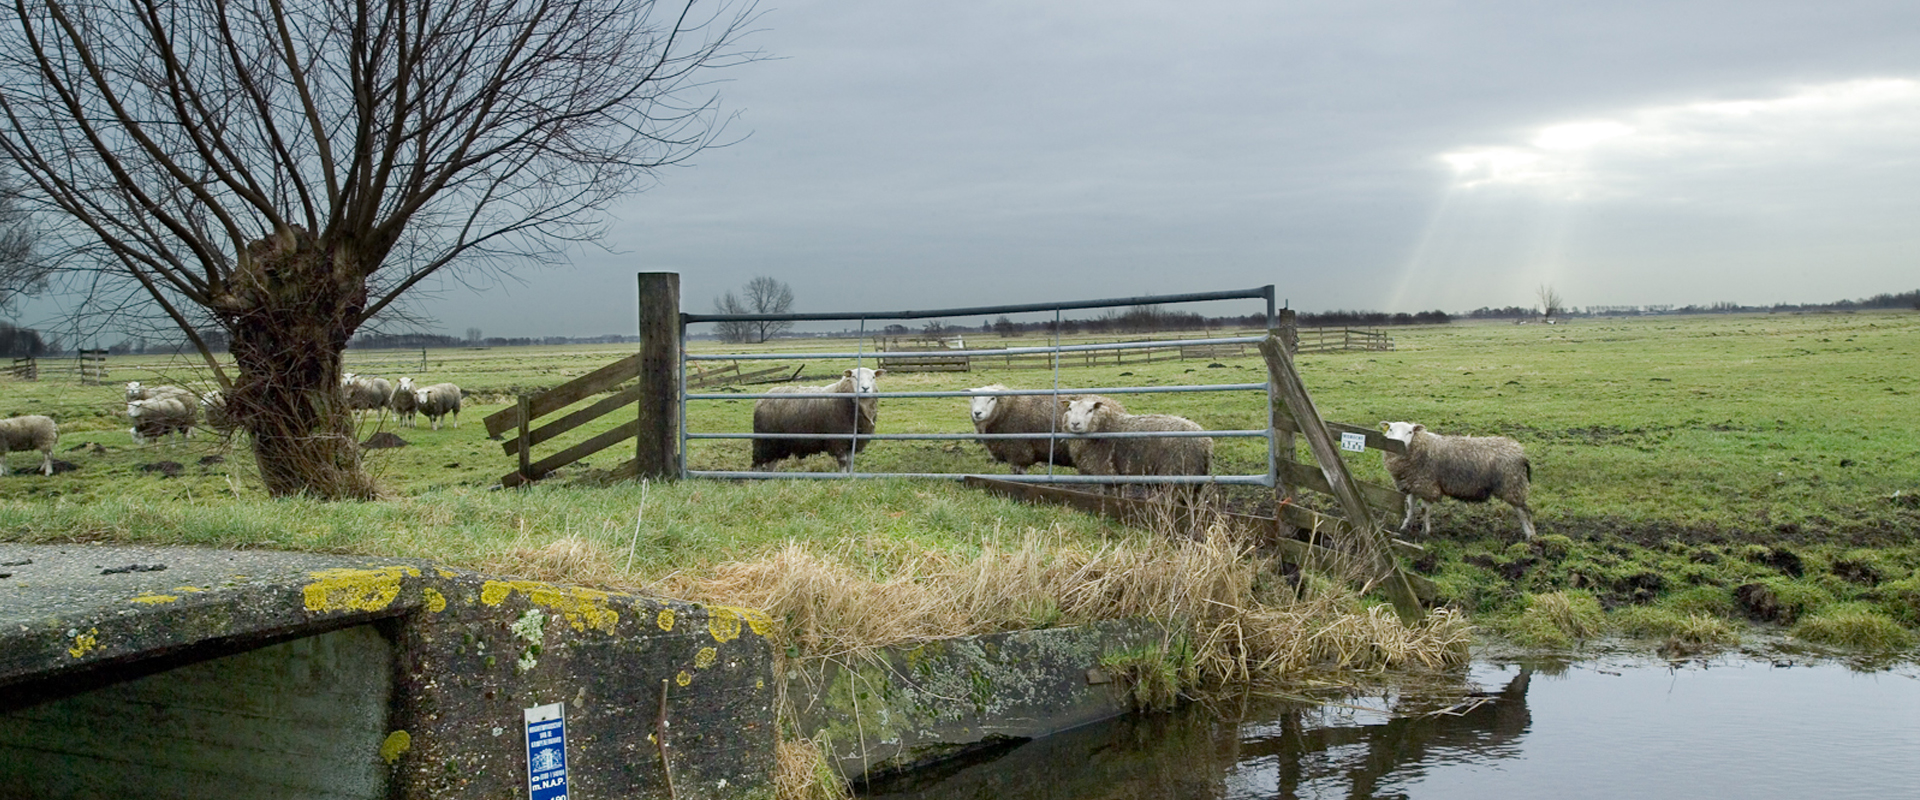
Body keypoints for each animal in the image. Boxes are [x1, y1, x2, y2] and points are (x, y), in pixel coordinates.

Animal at [756, 370, 890, 473]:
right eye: (854, 376)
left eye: (873, 377)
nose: (865, 388)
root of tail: (763, 397)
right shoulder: (838, 439)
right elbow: (843, 461)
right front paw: (843, 476)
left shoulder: (851, 440)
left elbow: (850, 461)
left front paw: (849, 475)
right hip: (764, 440)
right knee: (759, 462)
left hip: (775, 442)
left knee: (771, 462)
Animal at [1059, 395, 1205, 479]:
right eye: (1070, 409)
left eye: (1090, 410)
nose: (1075, 423)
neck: (1104, 426)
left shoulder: (1105, 469)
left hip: (1175, 471)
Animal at [1374, 420, 1536, 541]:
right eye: (1391, 429)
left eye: (1410, 432)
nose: (1396, 443)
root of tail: (1520, 452)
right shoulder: (1414, 484)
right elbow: (1410, 507)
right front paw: (1404, 527)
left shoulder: (1428, 485)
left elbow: (1425, 510)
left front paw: (1425, 532)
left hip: (1512, 484)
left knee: (1524, 512)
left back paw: (1531, 536)